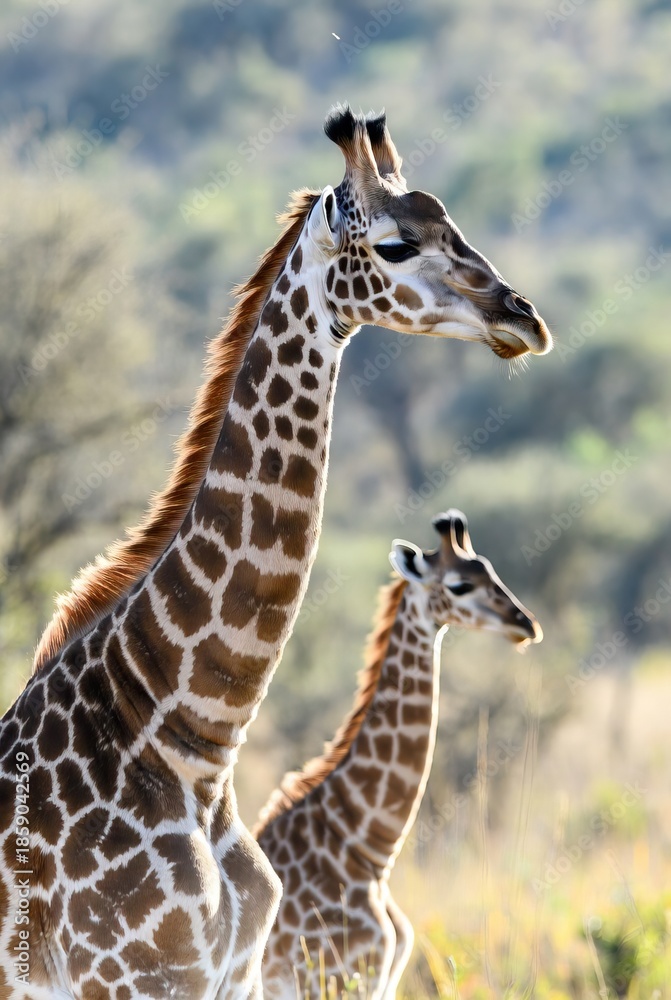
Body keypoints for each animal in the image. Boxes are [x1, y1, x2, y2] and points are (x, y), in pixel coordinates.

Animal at [255, 511, 542, 1000]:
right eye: (459, 585)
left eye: (491, 571)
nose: (526, 625)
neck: (366, 847)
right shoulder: (335, 976)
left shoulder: (380, 978)